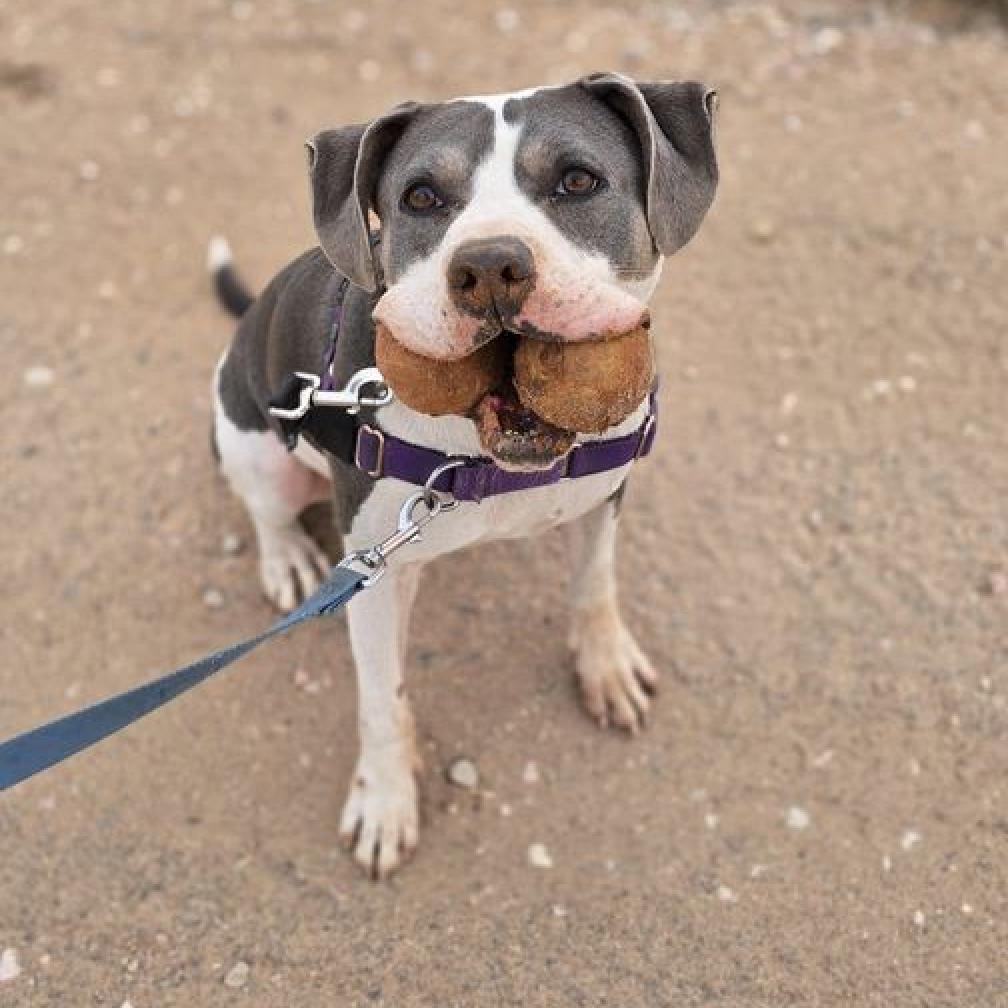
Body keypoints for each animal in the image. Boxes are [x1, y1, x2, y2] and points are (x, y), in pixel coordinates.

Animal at [210, 73, 717, 874]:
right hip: (252, 442)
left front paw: (604, 666)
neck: (487, 461)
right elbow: (380, 701)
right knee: (266, 508)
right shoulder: (372, 575)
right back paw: (287, 555)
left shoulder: (605, 494)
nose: (489, 267)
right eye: (421, 197)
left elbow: (594, 583)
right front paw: (386, 800)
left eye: (578, 181)